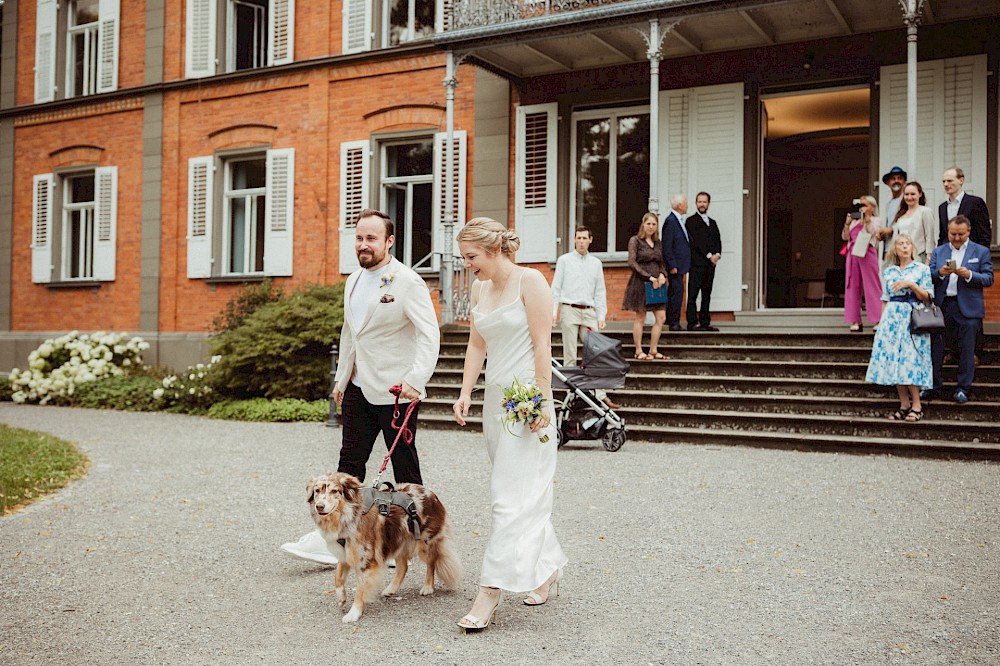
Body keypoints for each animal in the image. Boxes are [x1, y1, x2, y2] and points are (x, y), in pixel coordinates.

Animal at [306, 470, 462, 620]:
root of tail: (432, 494)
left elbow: (360, 589)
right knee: (403, 567)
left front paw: (354, 613)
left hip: (425, 543)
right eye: (317, 490)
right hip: (398, 541)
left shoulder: (365, 561)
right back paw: (391, 589)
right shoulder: (345, 553)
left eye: (334, 491)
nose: (319, 506)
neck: (349, 515)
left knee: (432, 562)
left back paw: (428, 587)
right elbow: (337, 578)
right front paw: (341, 597)